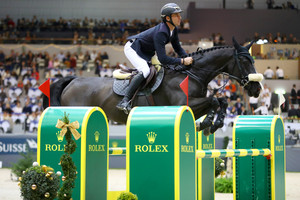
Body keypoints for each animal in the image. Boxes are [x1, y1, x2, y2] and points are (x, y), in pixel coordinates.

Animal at [44, 37, 262, 134]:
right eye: (245, 61)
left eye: (253, 60)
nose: (257, 89)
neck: (193, 74)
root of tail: (73, 80)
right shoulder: (186, 104)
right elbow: (215, 100)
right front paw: (209, 123)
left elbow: (221, 101)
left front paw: (214, 123)